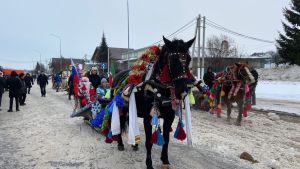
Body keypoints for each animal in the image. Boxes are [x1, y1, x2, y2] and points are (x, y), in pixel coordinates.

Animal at [111, 36, 196, 169]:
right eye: (172, 59)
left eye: (188, 59)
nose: (183, 90)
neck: (158, 88)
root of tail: (118, 75)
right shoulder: (148, 117)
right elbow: (149, 142)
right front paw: (149, 164)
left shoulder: (169, 117)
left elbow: (166, 139)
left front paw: (165, 161)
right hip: (121, 109)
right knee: (120, 122)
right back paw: (120, 144)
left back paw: (134, 144)